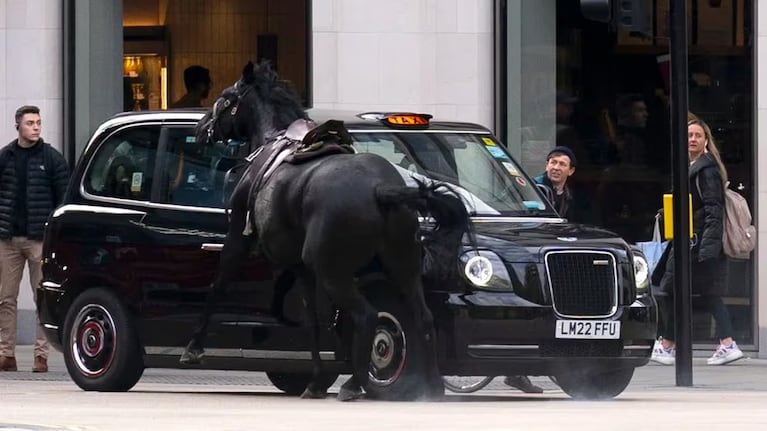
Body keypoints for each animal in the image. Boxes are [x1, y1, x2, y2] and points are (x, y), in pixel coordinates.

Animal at [181, 61, 472, 402]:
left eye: (226, 97)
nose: (201, 128)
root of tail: (380, 189)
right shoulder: (301, 267)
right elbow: (315, 322)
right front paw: (317, 379)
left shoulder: (240, 237)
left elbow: (219, 285)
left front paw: (193, 348)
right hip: (402, 266)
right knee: (422, 318)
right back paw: (432, 386)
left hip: (334, 271)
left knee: (367, 316)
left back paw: (355, 384)